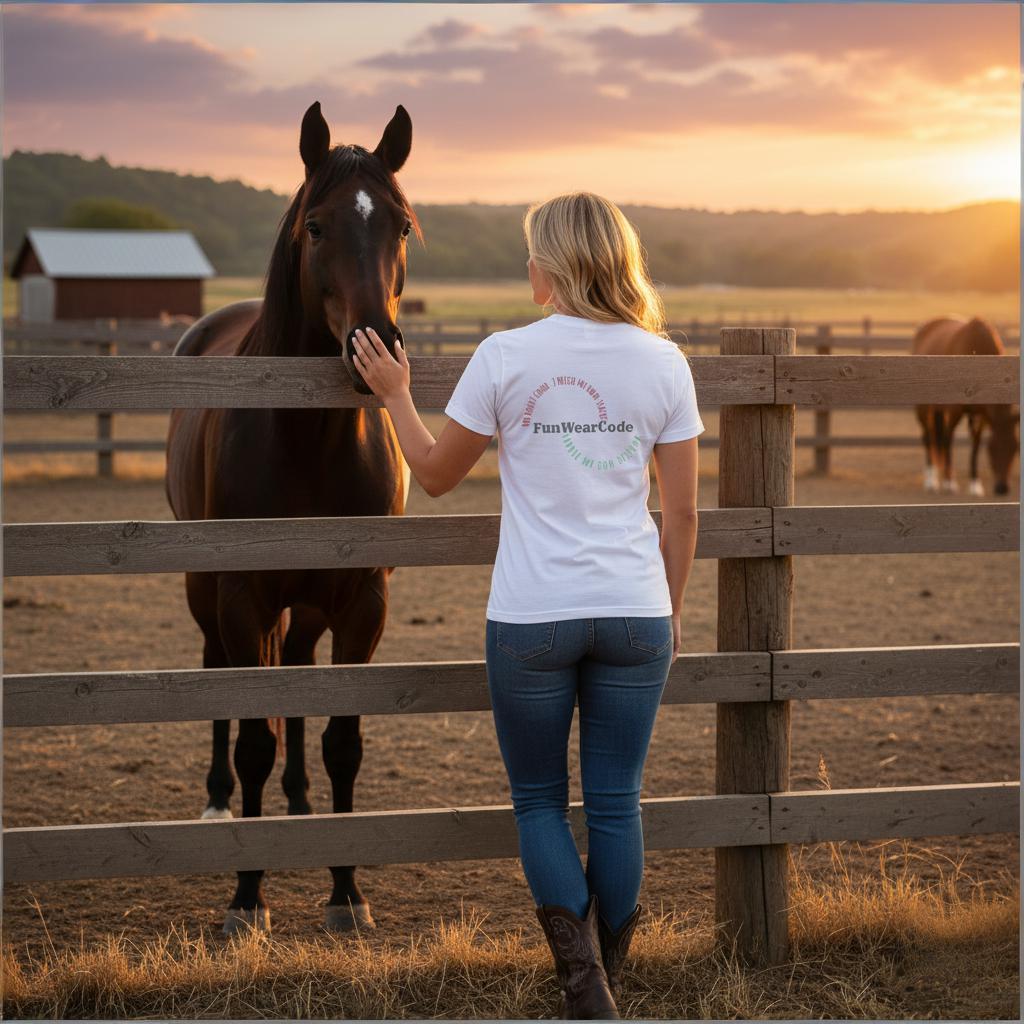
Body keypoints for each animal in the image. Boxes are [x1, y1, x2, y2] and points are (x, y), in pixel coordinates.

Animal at [165, 101, 420, 935]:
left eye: (402, 225)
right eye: (316, 226)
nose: (377, 346)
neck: (308, 438)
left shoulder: (363, 598)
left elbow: (342, 739)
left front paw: (346, 890)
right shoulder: (242, 594)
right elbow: (253, 739)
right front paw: (247, 896)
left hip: (308, 605)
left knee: (300, 679)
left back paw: (302, 806)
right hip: (205, 588)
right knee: (220, 675)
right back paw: (220, 803)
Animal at [912, 316, 1019, 496]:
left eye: (1016, 448)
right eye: (991, 448)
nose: (1002, 488)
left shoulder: (982, 415)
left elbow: (975, 445)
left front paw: (975, 484)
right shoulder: (954, 410)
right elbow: (948, 439)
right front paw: (949, 483)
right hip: (924, 409)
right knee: (929, 436)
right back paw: (931, 480)